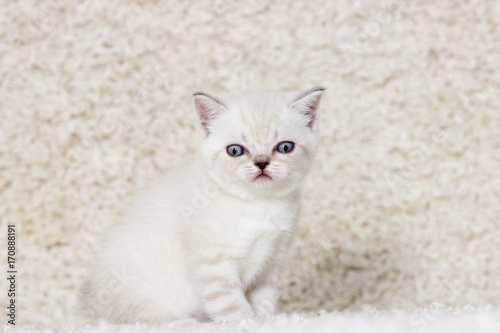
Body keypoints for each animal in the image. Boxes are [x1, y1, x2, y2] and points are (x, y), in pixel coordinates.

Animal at [80, 86, 326, 324]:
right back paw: (185, 323)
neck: (260, 204)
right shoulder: (214, 266)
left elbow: (264, 302)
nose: (262, 163)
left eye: (284, 147)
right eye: (235, 150)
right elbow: (232, 308)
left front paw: (268, 322)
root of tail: (88, 308)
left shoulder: (271, 263)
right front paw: (247, 323)